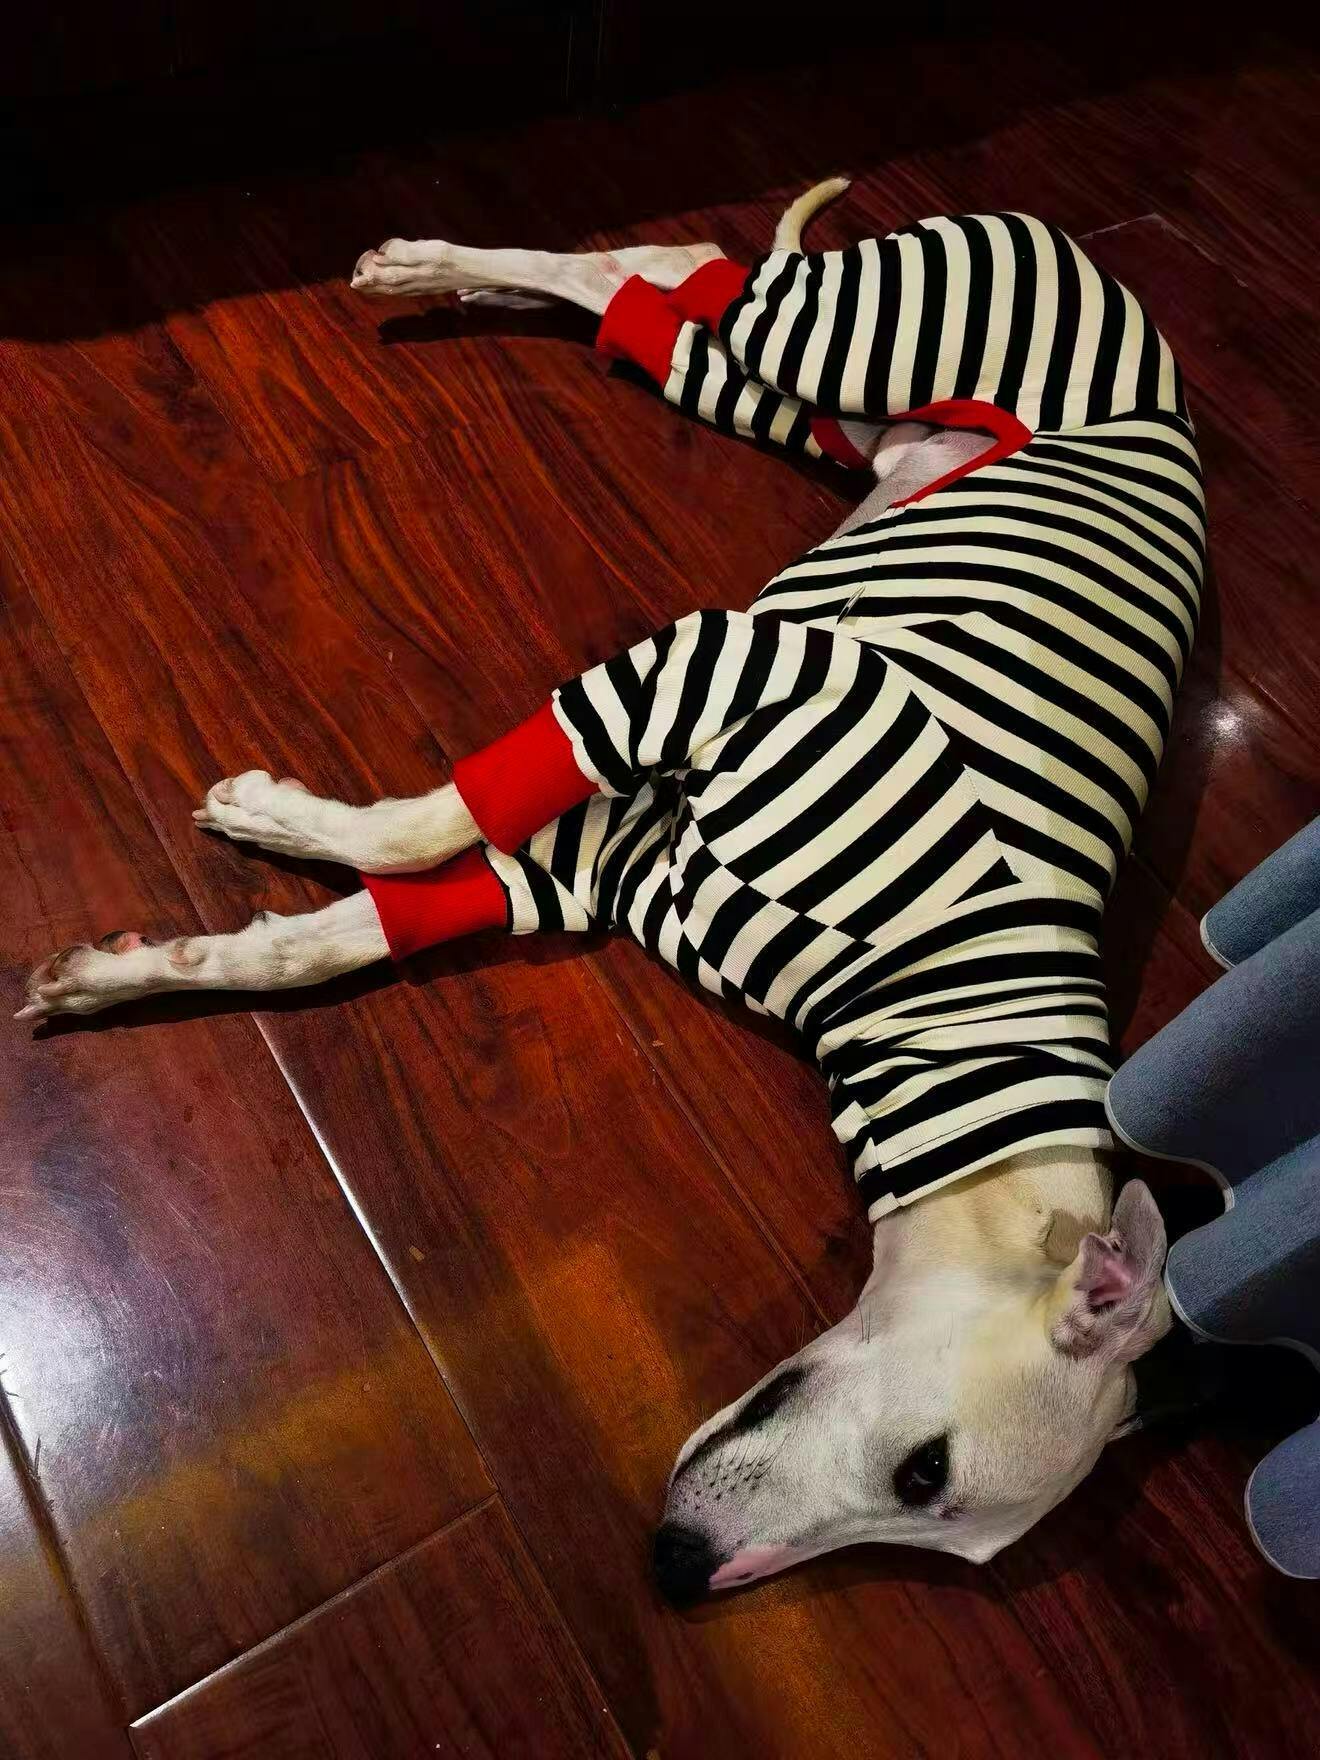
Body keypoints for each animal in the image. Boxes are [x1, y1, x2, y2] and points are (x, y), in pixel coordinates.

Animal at [20, 184, 1203, 1601]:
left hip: (814, 413)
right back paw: (433, 266)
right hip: (841, 340)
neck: (939, 997)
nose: (680, 1569)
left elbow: (331, 934)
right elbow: (423, 827)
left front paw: (120, 973)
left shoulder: (583, 861)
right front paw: (277, 816)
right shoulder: (719, 662)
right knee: (687, 267)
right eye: (927, 1471)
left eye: (936, 1530)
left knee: (650, 290)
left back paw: (480, 287)